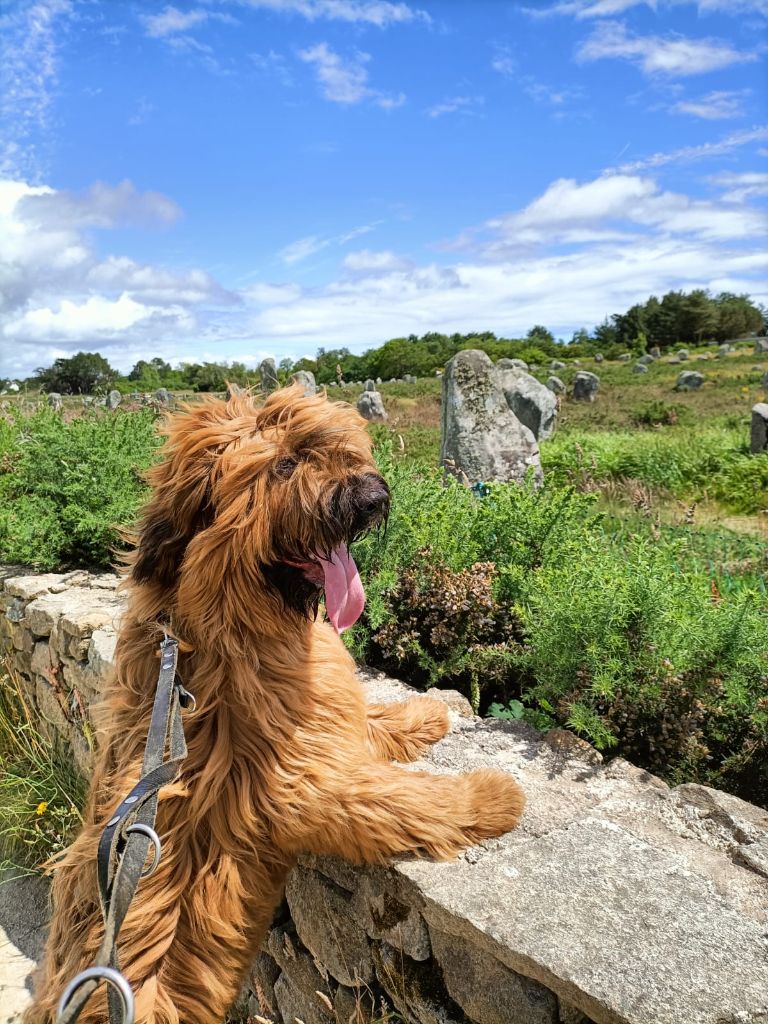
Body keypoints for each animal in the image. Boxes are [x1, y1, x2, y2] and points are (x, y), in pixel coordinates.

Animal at [27, 385, 528, 1024]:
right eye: (284, 466)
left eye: (335, 449)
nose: (373, 496)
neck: (213, 626)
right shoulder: (290, 783)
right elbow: (394, 796)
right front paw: (491, 795)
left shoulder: (318, 717)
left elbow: (366, 721)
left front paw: (427, 712)